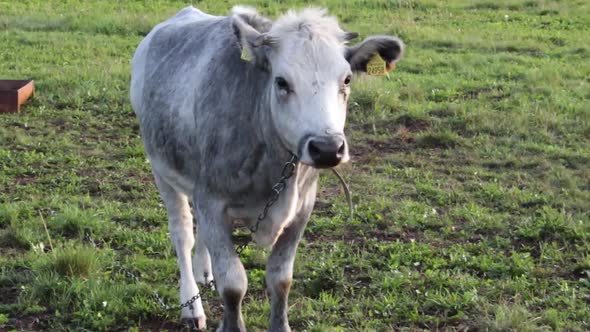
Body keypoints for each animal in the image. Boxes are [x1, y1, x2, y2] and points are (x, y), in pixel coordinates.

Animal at [131, 5, 404, 332]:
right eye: (282, 81)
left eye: (347, 79)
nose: (327, 148)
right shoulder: (212, 200)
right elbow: (233, 283)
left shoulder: (302, 207)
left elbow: (280, 278)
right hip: (162, 171)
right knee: (182, 233)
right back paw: (191, 306)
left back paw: (204, 272)